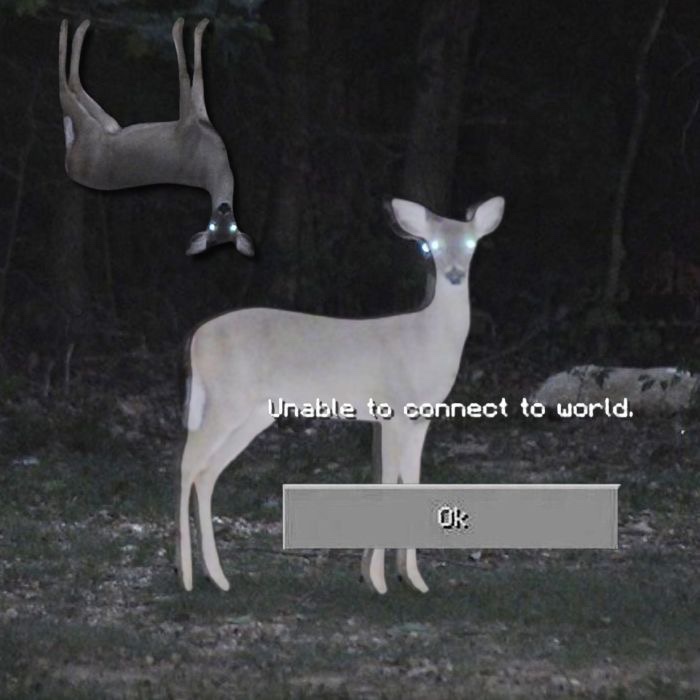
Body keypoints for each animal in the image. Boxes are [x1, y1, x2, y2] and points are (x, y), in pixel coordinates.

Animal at [58, 18, 254, 258]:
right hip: (105, 126)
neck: (215, 166)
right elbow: (194, 77)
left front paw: (183, 28)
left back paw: (74, 28)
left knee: (68, 89)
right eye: (213, 225)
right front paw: (193, 27)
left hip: (94, 133)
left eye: (231, 228)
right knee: (71, 87)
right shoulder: (195, 121)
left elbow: (187, 78)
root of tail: (69, 164)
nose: (224, 208)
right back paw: (77, 27)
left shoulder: (187, 126)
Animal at [177, 195, 505, 594]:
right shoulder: (392, 410)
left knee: (206, 471)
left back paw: (217, 576)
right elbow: (387, 483)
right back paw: (185, 576)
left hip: (254, 412)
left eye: (471, 243)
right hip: (225, 399)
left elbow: (411, 482)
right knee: (187, 463)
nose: (456, 273)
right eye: (433, 246)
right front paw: (378, 581)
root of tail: (196, 339)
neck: (426, 340)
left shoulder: (419, 419)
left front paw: (413, 580)